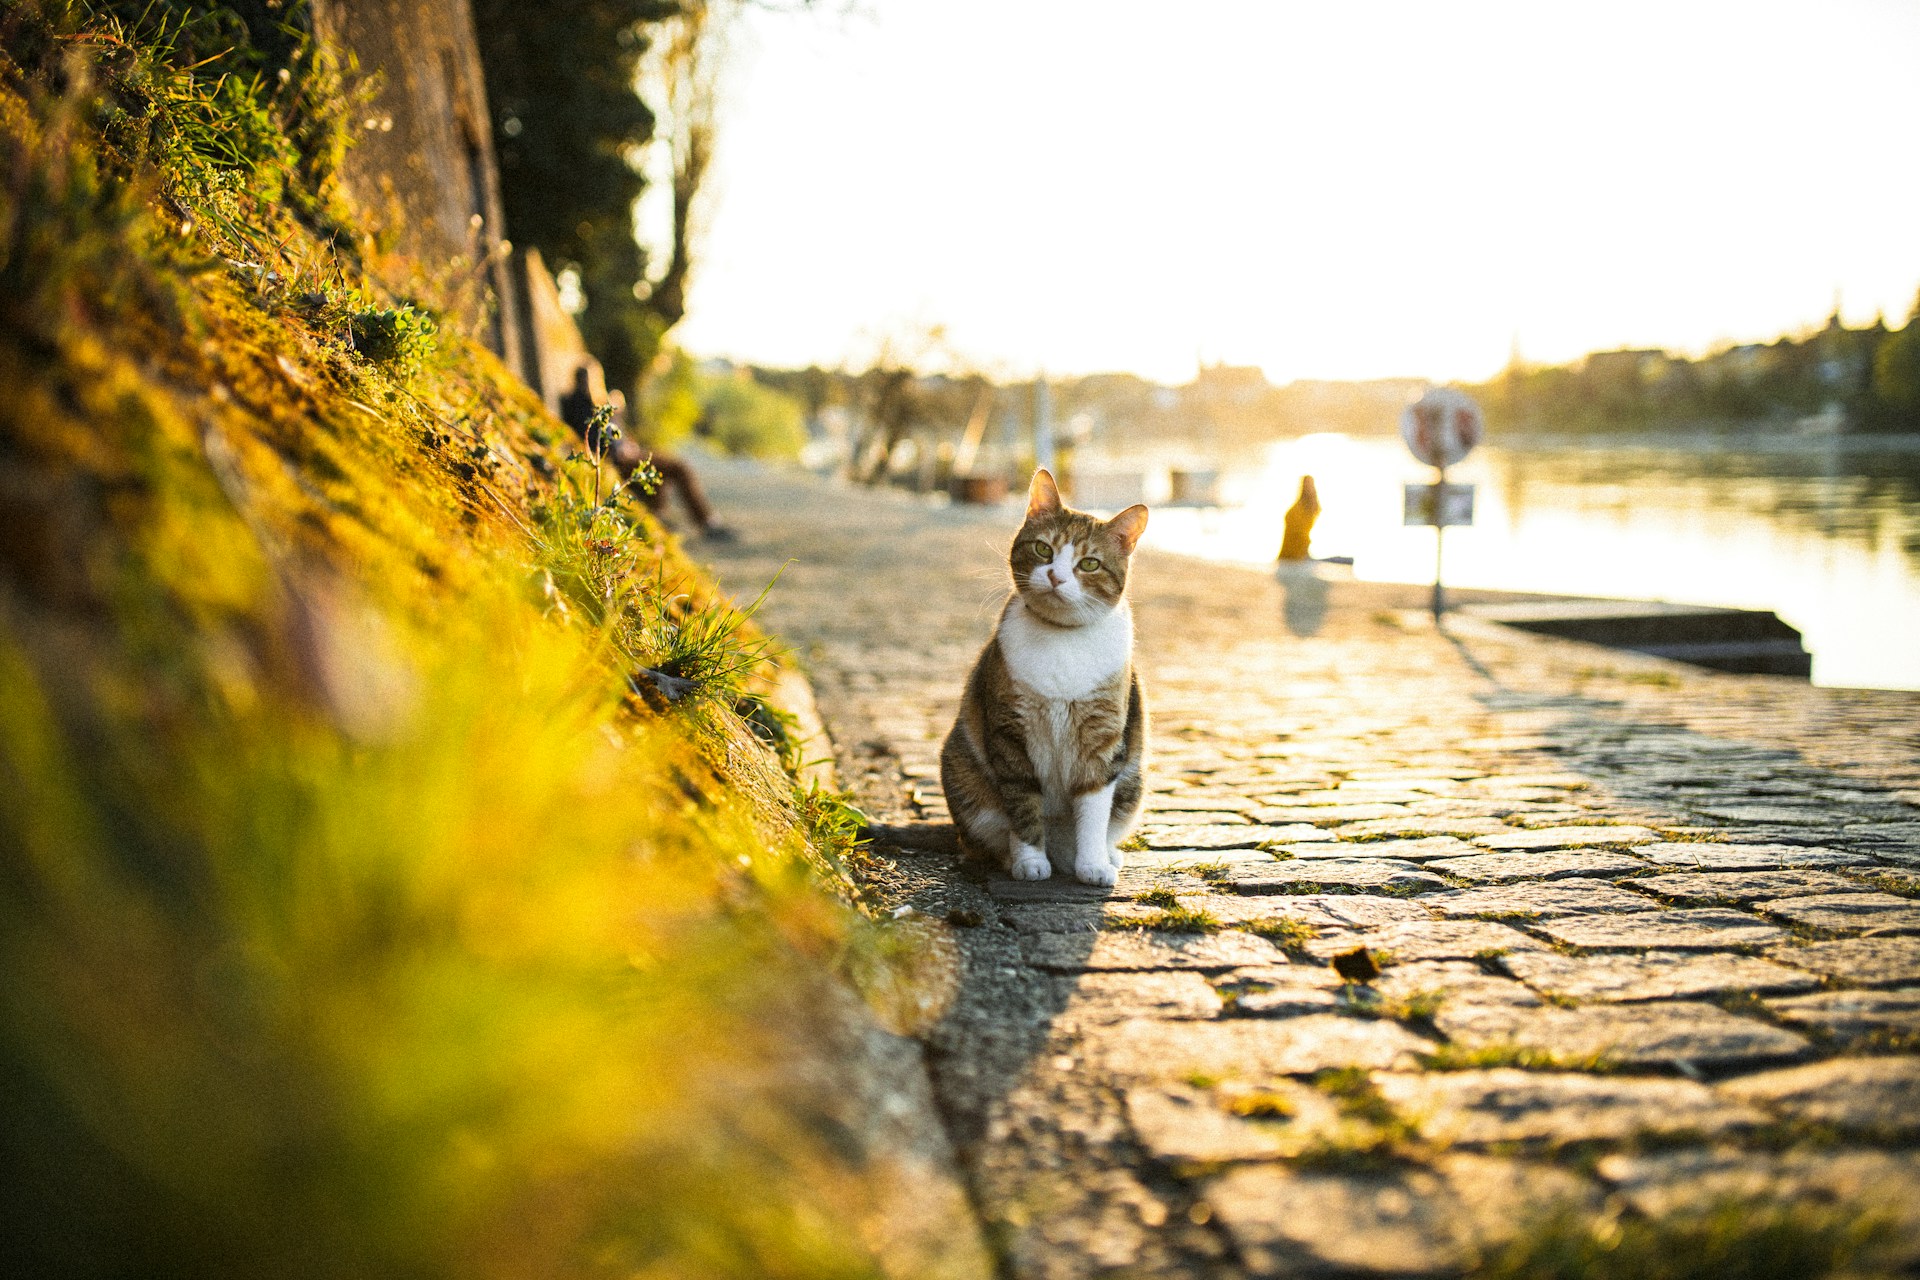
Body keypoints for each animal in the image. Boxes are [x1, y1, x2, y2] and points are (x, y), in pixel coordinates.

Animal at [936, 474, 1144, 890]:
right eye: (1043, 549)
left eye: (1090, 563)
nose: (1055, 576)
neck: (1062, 636)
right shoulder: (1010, 734)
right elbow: (1022, 804)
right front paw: (1030, 861)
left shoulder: (1101, 740)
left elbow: (1094, 812)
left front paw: (1093, 865)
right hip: (962, 771)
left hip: (1132, 781)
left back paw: (1108, 856)